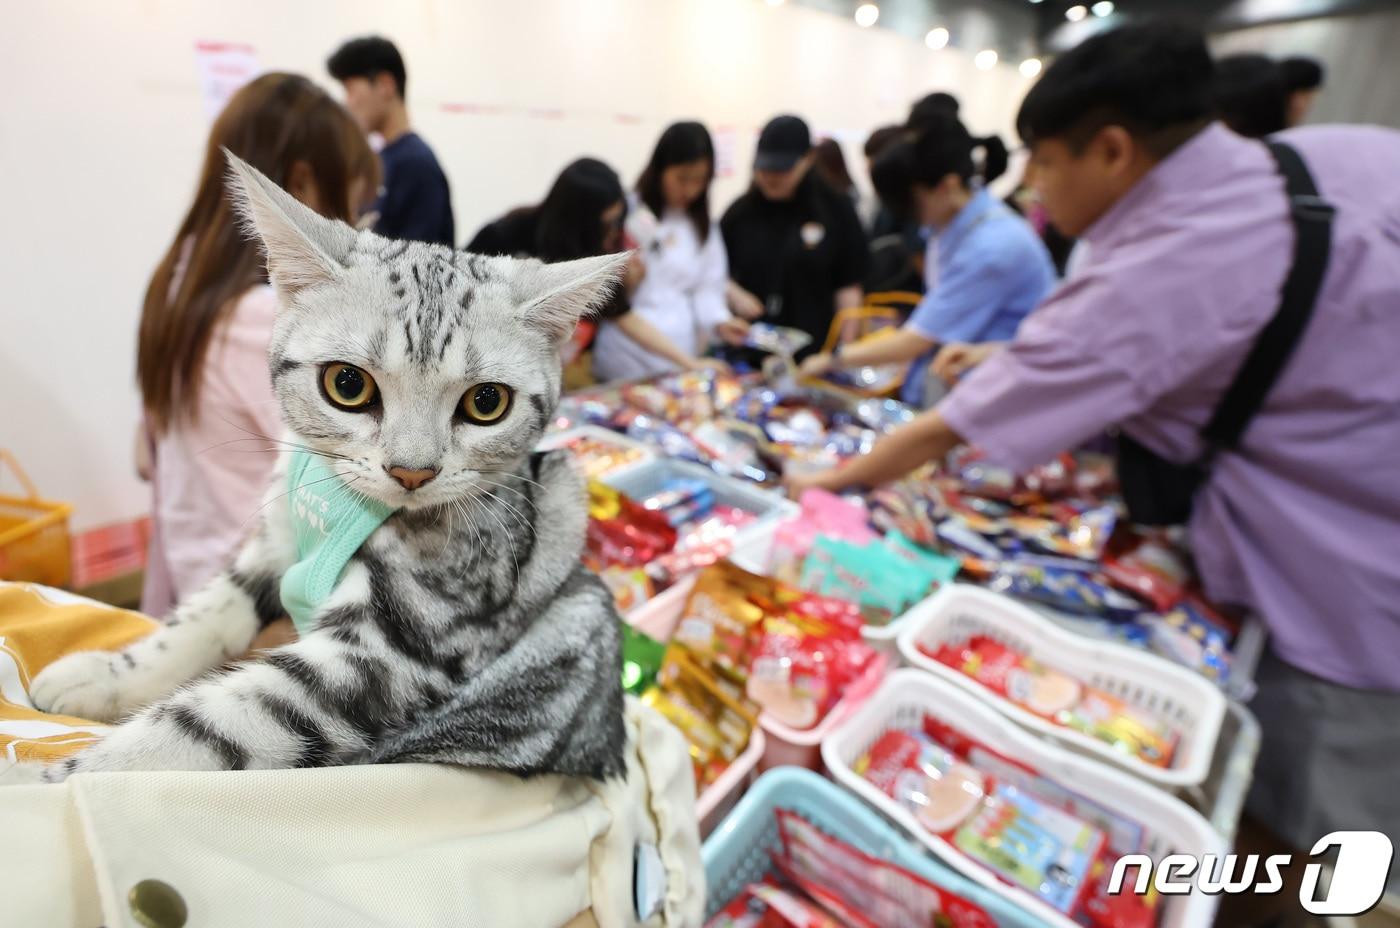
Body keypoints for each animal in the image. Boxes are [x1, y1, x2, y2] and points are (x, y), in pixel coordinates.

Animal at [28, 152, 630, 783]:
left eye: (486, 402)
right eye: (347, 384)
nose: (412, 471)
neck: (342, 506)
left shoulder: (391, 650)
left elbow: (209, 725)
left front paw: (55, 780)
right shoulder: (272, 546)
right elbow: (205, 616)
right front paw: (105, 674)